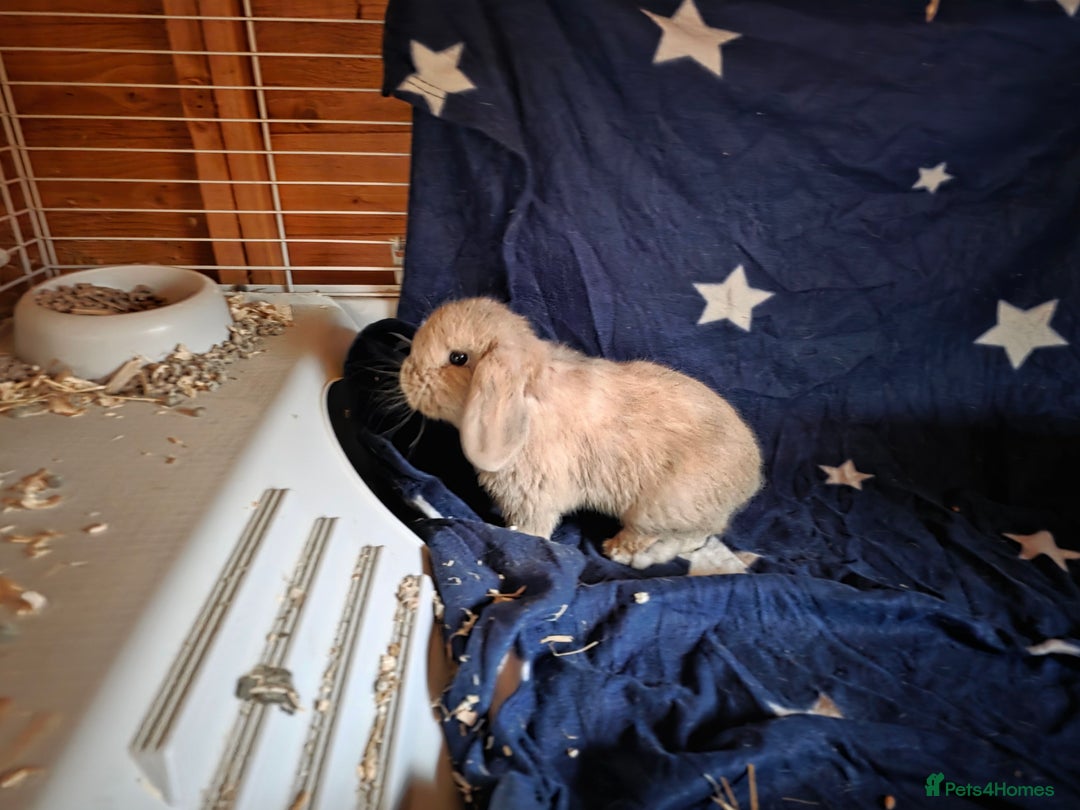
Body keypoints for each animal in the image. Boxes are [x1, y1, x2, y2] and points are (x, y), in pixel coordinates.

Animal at [398, 297, 763, 568]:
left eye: (458, 357)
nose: (406, 376)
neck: (527, 399)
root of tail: (751, 478)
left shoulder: (535, 497)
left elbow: (533, 528)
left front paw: (517, 535)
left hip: (659, 507)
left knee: (660, 535)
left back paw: (618, 551)